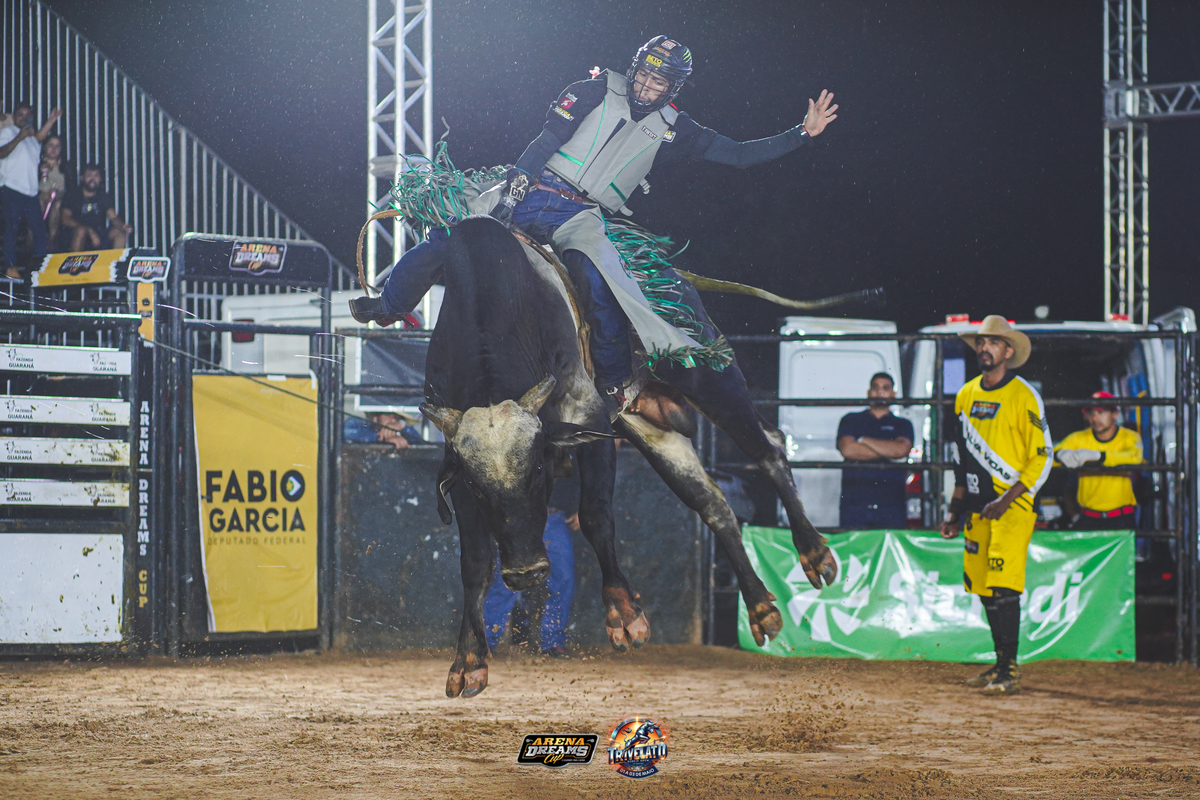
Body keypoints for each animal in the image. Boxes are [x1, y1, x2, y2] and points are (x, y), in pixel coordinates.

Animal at [418, 215, 836, 698]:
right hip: (650, 428)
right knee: (711, 501)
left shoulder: (591, 421)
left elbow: (596, 515)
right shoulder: (457, 463)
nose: (525, 573)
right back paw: (761, 607)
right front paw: (468, 659)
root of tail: (668, 271)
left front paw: (624, 614)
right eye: (478, 487)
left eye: (539, 468)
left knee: (769, 447)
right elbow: (474, 561)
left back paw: (814, 552)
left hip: (709, 376)